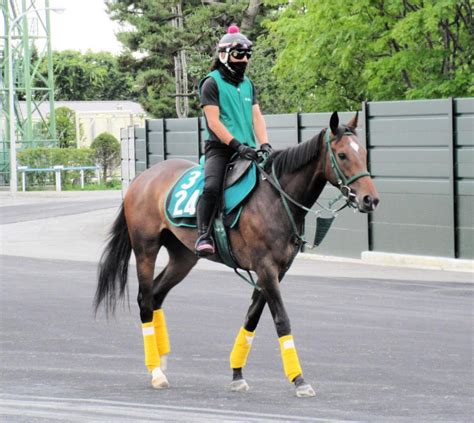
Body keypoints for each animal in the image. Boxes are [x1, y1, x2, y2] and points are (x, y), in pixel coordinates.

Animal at [94, 112, 380, 398]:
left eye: (364, 152)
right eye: (342, 155)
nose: (370, 199)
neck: (275, 198)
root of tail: (142, 178)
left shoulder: (276, 271)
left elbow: (252, 318)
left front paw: (237, 374)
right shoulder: (265, 268)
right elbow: (281, 320)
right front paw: (299, 379)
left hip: (183, 257)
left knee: (156, 295)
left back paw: (162, 361)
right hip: (146, 249)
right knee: (145, 300)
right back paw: (155, 372)